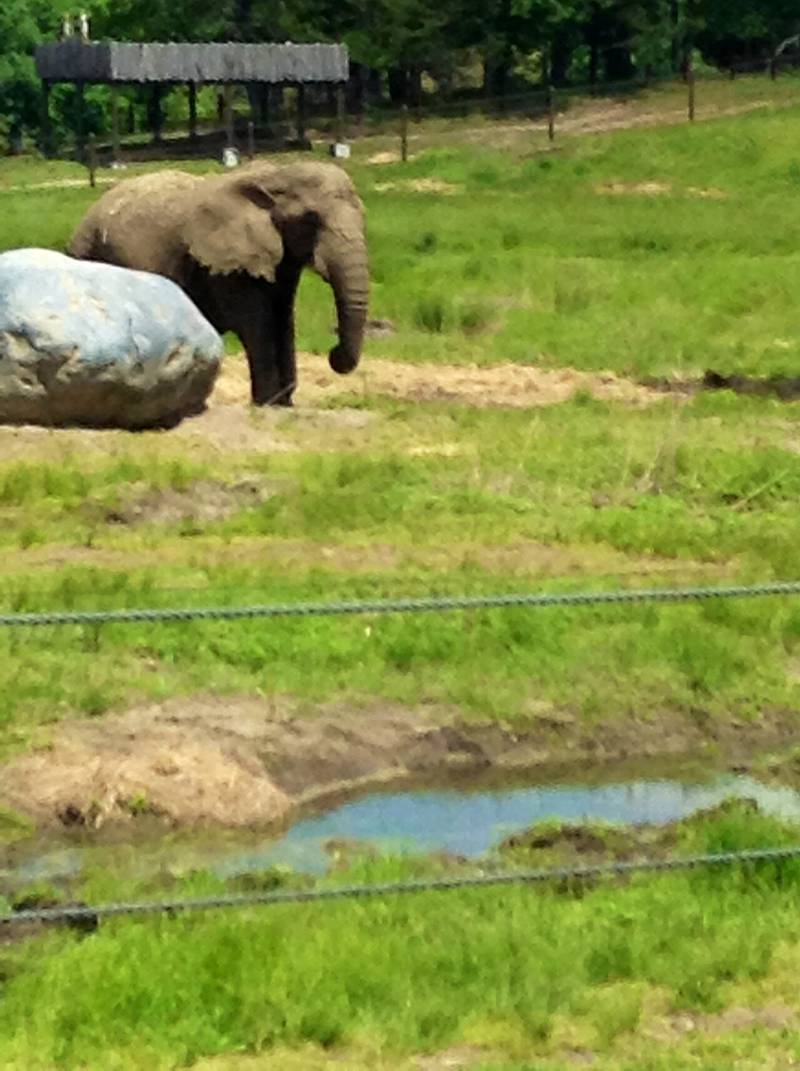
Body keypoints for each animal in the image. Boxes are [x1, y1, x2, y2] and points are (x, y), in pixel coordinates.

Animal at [67, 160, 369, 406]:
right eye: (311, 219)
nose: (333, 354)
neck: (276, 176)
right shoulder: (226, 264)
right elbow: (255, 322)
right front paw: (268, 403)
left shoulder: (281, 260)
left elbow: (283, 318)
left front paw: (285, 402)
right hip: (87, 251)